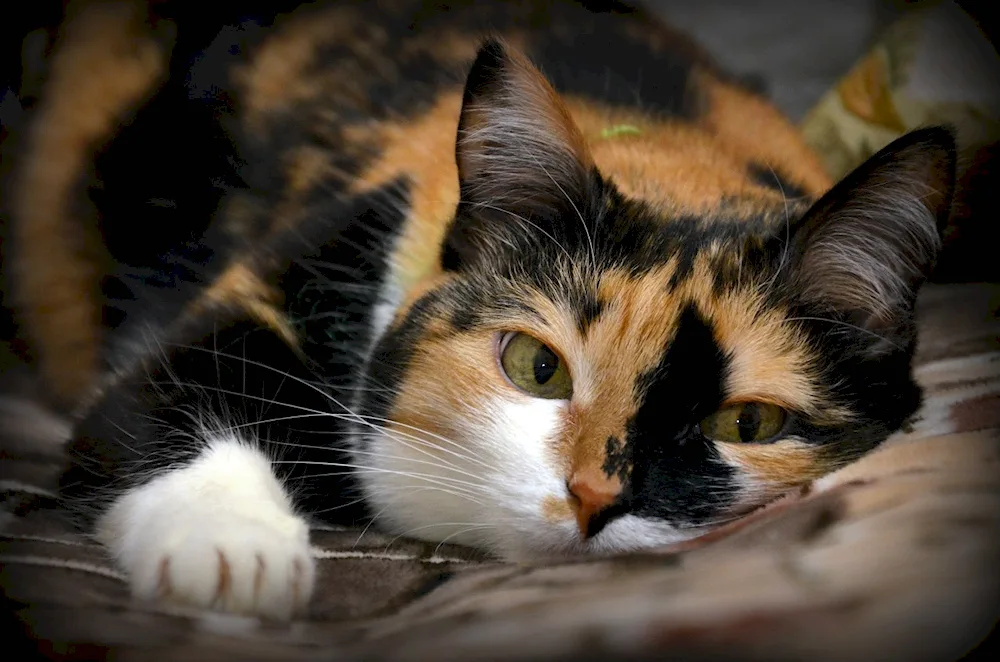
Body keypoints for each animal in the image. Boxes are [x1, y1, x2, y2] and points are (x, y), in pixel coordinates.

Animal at [0, 0, 952, 624]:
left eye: (748, 423)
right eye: (537, 367)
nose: (593, 497)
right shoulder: (300, 264)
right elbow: (178, 374)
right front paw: (232, 552)